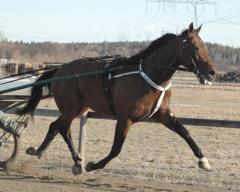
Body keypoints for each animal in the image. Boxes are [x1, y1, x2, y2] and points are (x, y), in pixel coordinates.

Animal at [18, 23, 216, 175]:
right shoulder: (125, 118)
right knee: (64, 128)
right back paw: (76, 161)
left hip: (79, 108)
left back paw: (38, 151)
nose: (211, 72)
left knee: (56, 126)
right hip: (70, 108)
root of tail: (60, 69)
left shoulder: (163, 115)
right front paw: (92, 165)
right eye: (195, 47)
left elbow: (185, 132)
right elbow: (116, 149)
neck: (148, 76)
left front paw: (203, 161)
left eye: (205, 46)